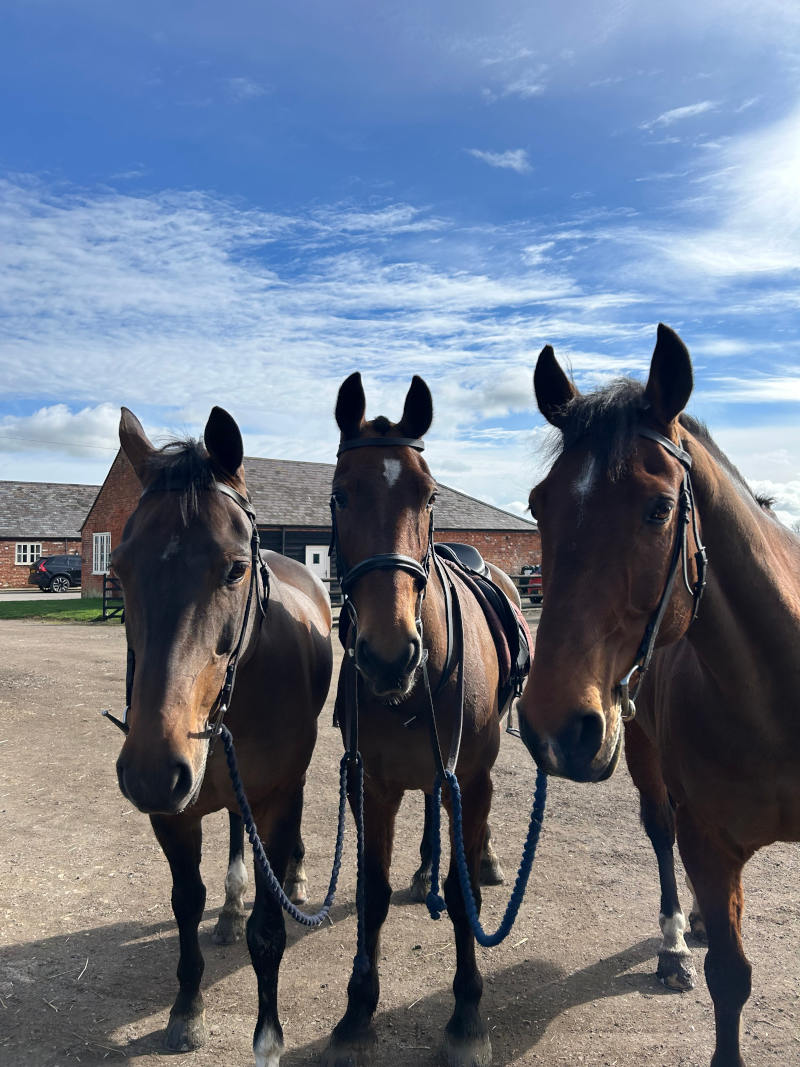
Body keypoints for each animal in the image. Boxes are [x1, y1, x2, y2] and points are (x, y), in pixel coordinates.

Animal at [110, 406, 333, 1067]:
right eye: (119, 568)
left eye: (234, 568)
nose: (153, 770)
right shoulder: (173, 814)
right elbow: (186, 901)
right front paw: (187, 1012)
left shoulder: (277, 798)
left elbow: (270, 930)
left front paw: (268, 1038)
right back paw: (230, 909)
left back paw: (295, 878)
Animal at [323, 373, 523, 1067]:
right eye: (340, 494)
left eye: (428, 493)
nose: (389, 655)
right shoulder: (371, 786)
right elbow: (372, 893)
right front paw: (356, 1012)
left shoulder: (468, 777)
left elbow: (465, 902)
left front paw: (466, 1017)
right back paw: (424, 866)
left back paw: (482, 858)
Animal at [517, 324, 800, 1067]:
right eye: (537, 505)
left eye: (659, 507)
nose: (553, 726)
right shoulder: (708, 840)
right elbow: (729, 977)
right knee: (660, 828)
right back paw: (677, 940)